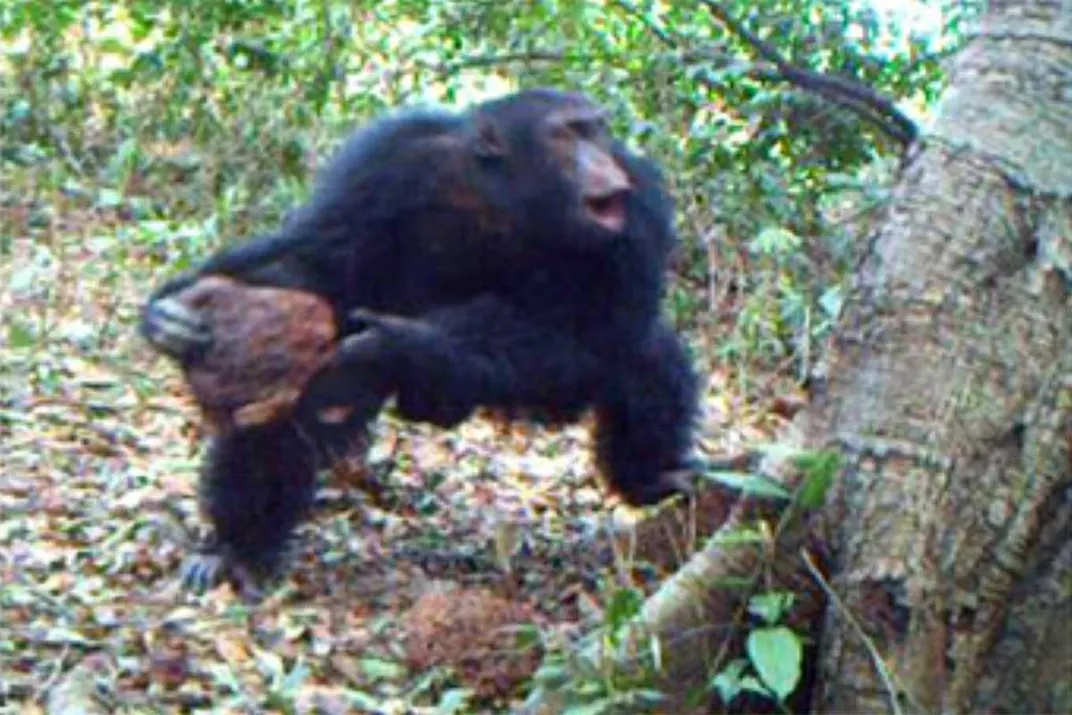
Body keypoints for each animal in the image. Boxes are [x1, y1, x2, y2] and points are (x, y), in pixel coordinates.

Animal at [138, 86, 698, 596]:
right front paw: (169, 312)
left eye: (597, 130)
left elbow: (594, 329)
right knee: (279, 414)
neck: (507, 194)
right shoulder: (387, 159)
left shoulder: (639, 203)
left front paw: (397, 345)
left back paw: (654, 476)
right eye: (569, 133)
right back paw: (237, 550)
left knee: (646, 359)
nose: (601, 157)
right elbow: (319, 255)